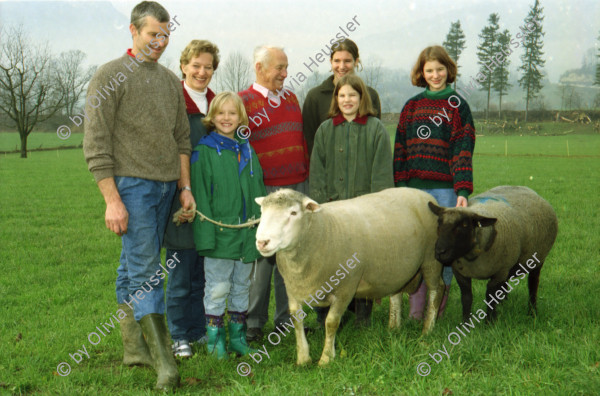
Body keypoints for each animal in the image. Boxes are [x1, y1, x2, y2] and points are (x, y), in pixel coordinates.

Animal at [252, 187, 440, 366]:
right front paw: (303, 358)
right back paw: (393, 328)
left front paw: (326, 359)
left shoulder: (346, 288)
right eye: (262, 212)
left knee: (436, 292)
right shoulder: (292, 288)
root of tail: (424, 194)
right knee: (396, 294)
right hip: (396, 270)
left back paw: (427, 331)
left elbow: (331, 322)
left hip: (431, 258)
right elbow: (296, 320)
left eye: (293, 213)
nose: (262, 242)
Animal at [426, 186, 556, 322]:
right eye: (439, 222)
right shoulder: (461, 273)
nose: (440, 252)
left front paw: (490, 322)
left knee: (533, 284)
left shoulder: (500, 271)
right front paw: (465, 321)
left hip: (538, 259)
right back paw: (504, 304)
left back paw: (532, 312)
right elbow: (466, 297)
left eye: (465, 225)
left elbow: (490, 296)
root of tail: (528, 188)